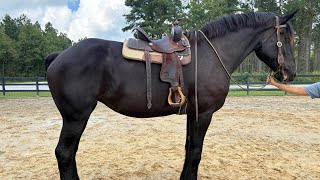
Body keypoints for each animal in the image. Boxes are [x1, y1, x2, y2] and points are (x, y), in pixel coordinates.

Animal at [45, 11, 298, 180]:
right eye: (285, 38)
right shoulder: (204, 114)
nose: (290, 73)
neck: (211, 55)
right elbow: (196, 151)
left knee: (70, 153)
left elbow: (188, 148)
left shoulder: (192, 114)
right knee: (64, 153)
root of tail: (59, 56)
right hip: (76, 117)